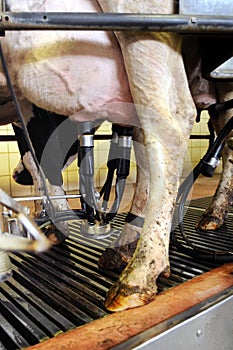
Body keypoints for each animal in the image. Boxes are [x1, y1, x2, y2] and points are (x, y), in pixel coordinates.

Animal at [0, 0, 231, 314]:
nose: (16, 176)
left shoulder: (29, 112)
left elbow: (38, 158)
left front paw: (53, 225)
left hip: (144, 26)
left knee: (170, 124)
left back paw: (139, 274)